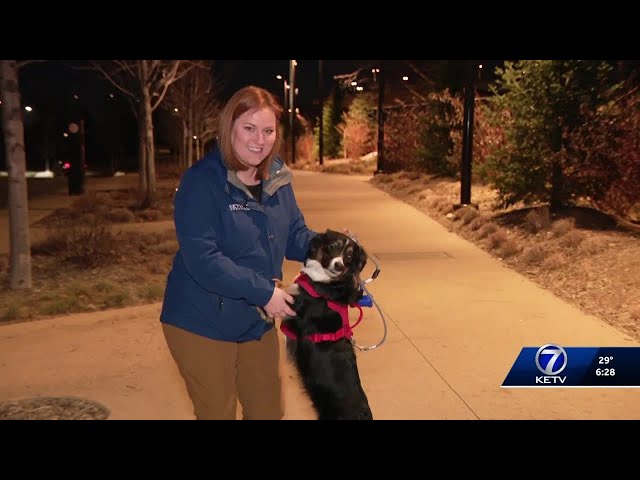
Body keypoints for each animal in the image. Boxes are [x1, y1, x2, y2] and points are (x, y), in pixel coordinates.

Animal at [282, 229, 376, 420]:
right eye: (333, 246)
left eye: (349, 256)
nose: (339, 265)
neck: (328, 282)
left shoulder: (293, 309)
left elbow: (281, 290)